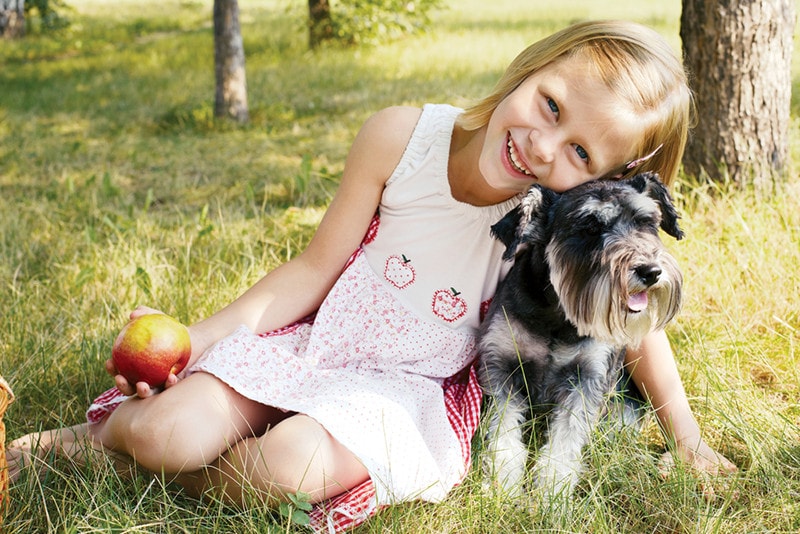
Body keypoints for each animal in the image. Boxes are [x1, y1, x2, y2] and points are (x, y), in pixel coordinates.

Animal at [478, 174, 684, 504]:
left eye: (647, 222)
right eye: (589, 228)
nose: (650, 271)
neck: (556, 316)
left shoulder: (585, 378)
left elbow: (564, 442)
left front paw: (551, 495)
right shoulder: (502, 368)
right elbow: (503, 432)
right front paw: (503, 484)